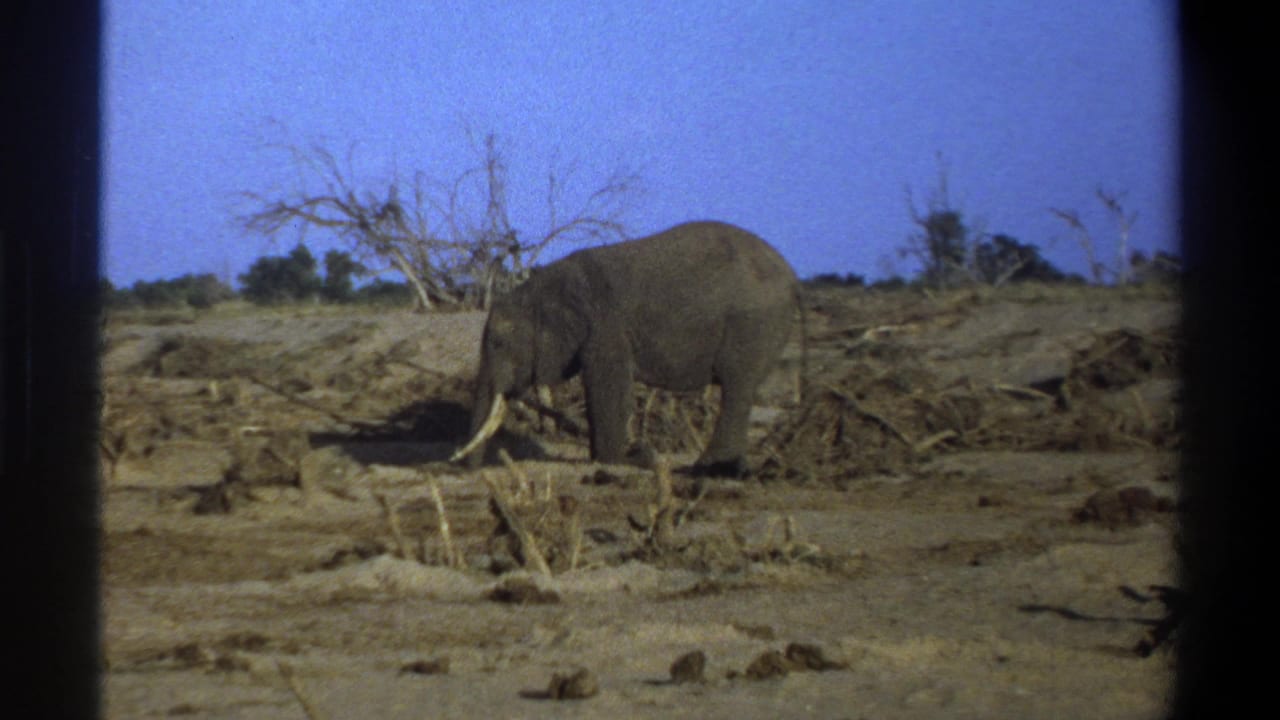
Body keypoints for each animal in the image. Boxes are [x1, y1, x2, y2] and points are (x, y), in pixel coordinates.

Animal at [452, 220, 799, 477]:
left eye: (499, 343)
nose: (465, 470)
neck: (540, 286)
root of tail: (791, 275)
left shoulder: (607, 328)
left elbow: (608, 386)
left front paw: (619, 460)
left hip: (752, 324)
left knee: (736, 386)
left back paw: (709, 469)